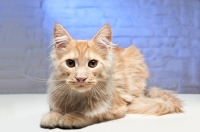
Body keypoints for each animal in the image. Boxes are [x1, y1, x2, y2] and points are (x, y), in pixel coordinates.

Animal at [39, 23, 182, 129]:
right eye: (70, 63)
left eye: (92, 63)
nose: (81, 78)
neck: (78, 97)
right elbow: (54, 109)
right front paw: (52, 116)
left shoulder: (117, 107)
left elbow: (93, 113)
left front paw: (74, 116)